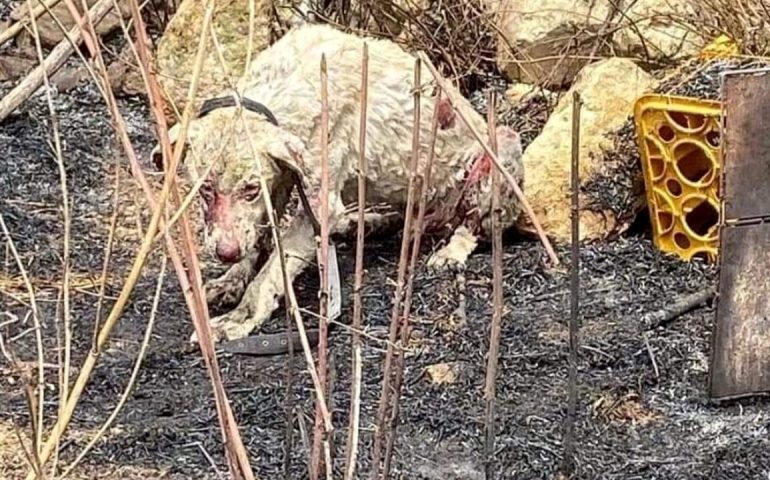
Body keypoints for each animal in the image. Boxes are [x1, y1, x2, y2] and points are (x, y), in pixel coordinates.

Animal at [150, 24, 520, 344]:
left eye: (251, 189)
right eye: (204, 190)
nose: (225, 253)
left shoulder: (317, 205)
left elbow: (271, 270)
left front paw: (240, 317)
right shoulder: (282, 182)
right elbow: (257, 240)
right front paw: (232, 280)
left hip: (498, 153)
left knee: (471, 228)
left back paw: (449, 250)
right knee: (410, 219)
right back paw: (367, 224)